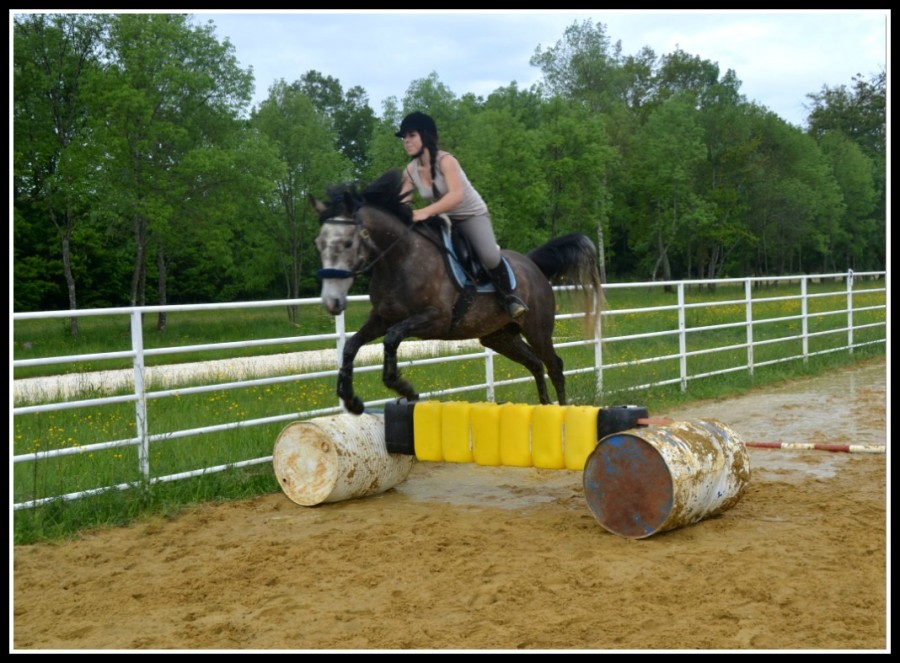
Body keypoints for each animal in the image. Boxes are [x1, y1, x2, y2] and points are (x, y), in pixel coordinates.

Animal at [310, 168, 603, 415]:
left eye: (347, 243)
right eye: (319, 243)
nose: (332, 302)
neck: (399, 260)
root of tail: (533, 265)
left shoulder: (436, 319)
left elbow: (391, 339)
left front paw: (404, 389)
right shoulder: (382, 318)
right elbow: (351, 346)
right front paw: (350, 399)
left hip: (537, 329)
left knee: (555, 366)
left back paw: (562, 411)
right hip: (499, 337)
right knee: (535, 364)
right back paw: (543, 408)